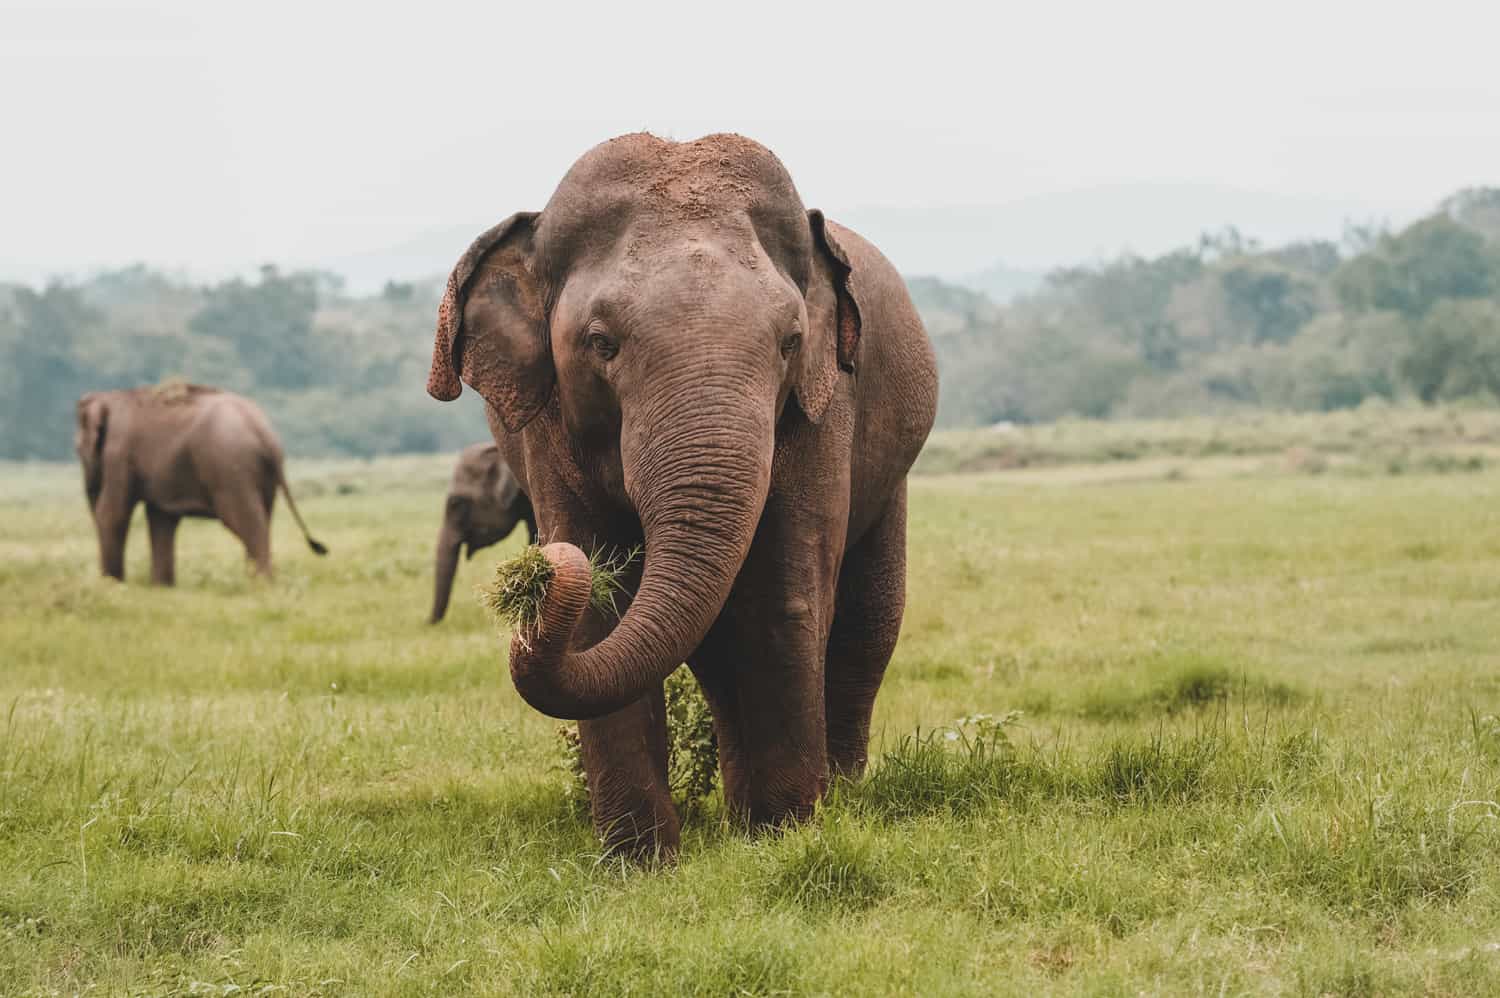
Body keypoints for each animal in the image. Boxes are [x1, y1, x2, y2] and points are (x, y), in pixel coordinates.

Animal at [73, 382, 328, 585]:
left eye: (77, 449)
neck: (111, 396)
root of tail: (265, 433)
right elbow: (161, 518)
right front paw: (161, 588)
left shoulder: (119, 454)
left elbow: (112, 514)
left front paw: (112, 585)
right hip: (260, 476)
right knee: (263, 518)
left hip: (229, 468)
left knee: (246, 521)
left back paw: (261, 585)